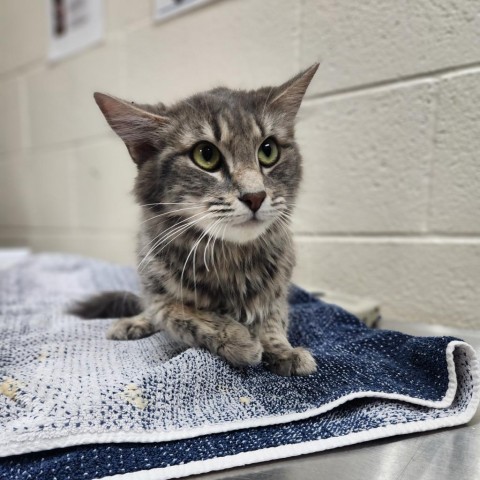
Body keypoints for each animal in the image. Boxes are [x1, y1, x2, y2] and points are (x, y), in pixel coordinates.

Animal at [70, 63, 318, 376]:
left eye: (268, 150)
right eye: (206, 155)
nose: (255, 196)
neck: (230, 258)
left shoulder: (280, 286)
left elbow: (273, 317)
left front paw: (282, 350)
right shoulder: (159, 293)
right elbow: (185, 314)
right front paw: (240, 341)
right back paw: (132, 323)